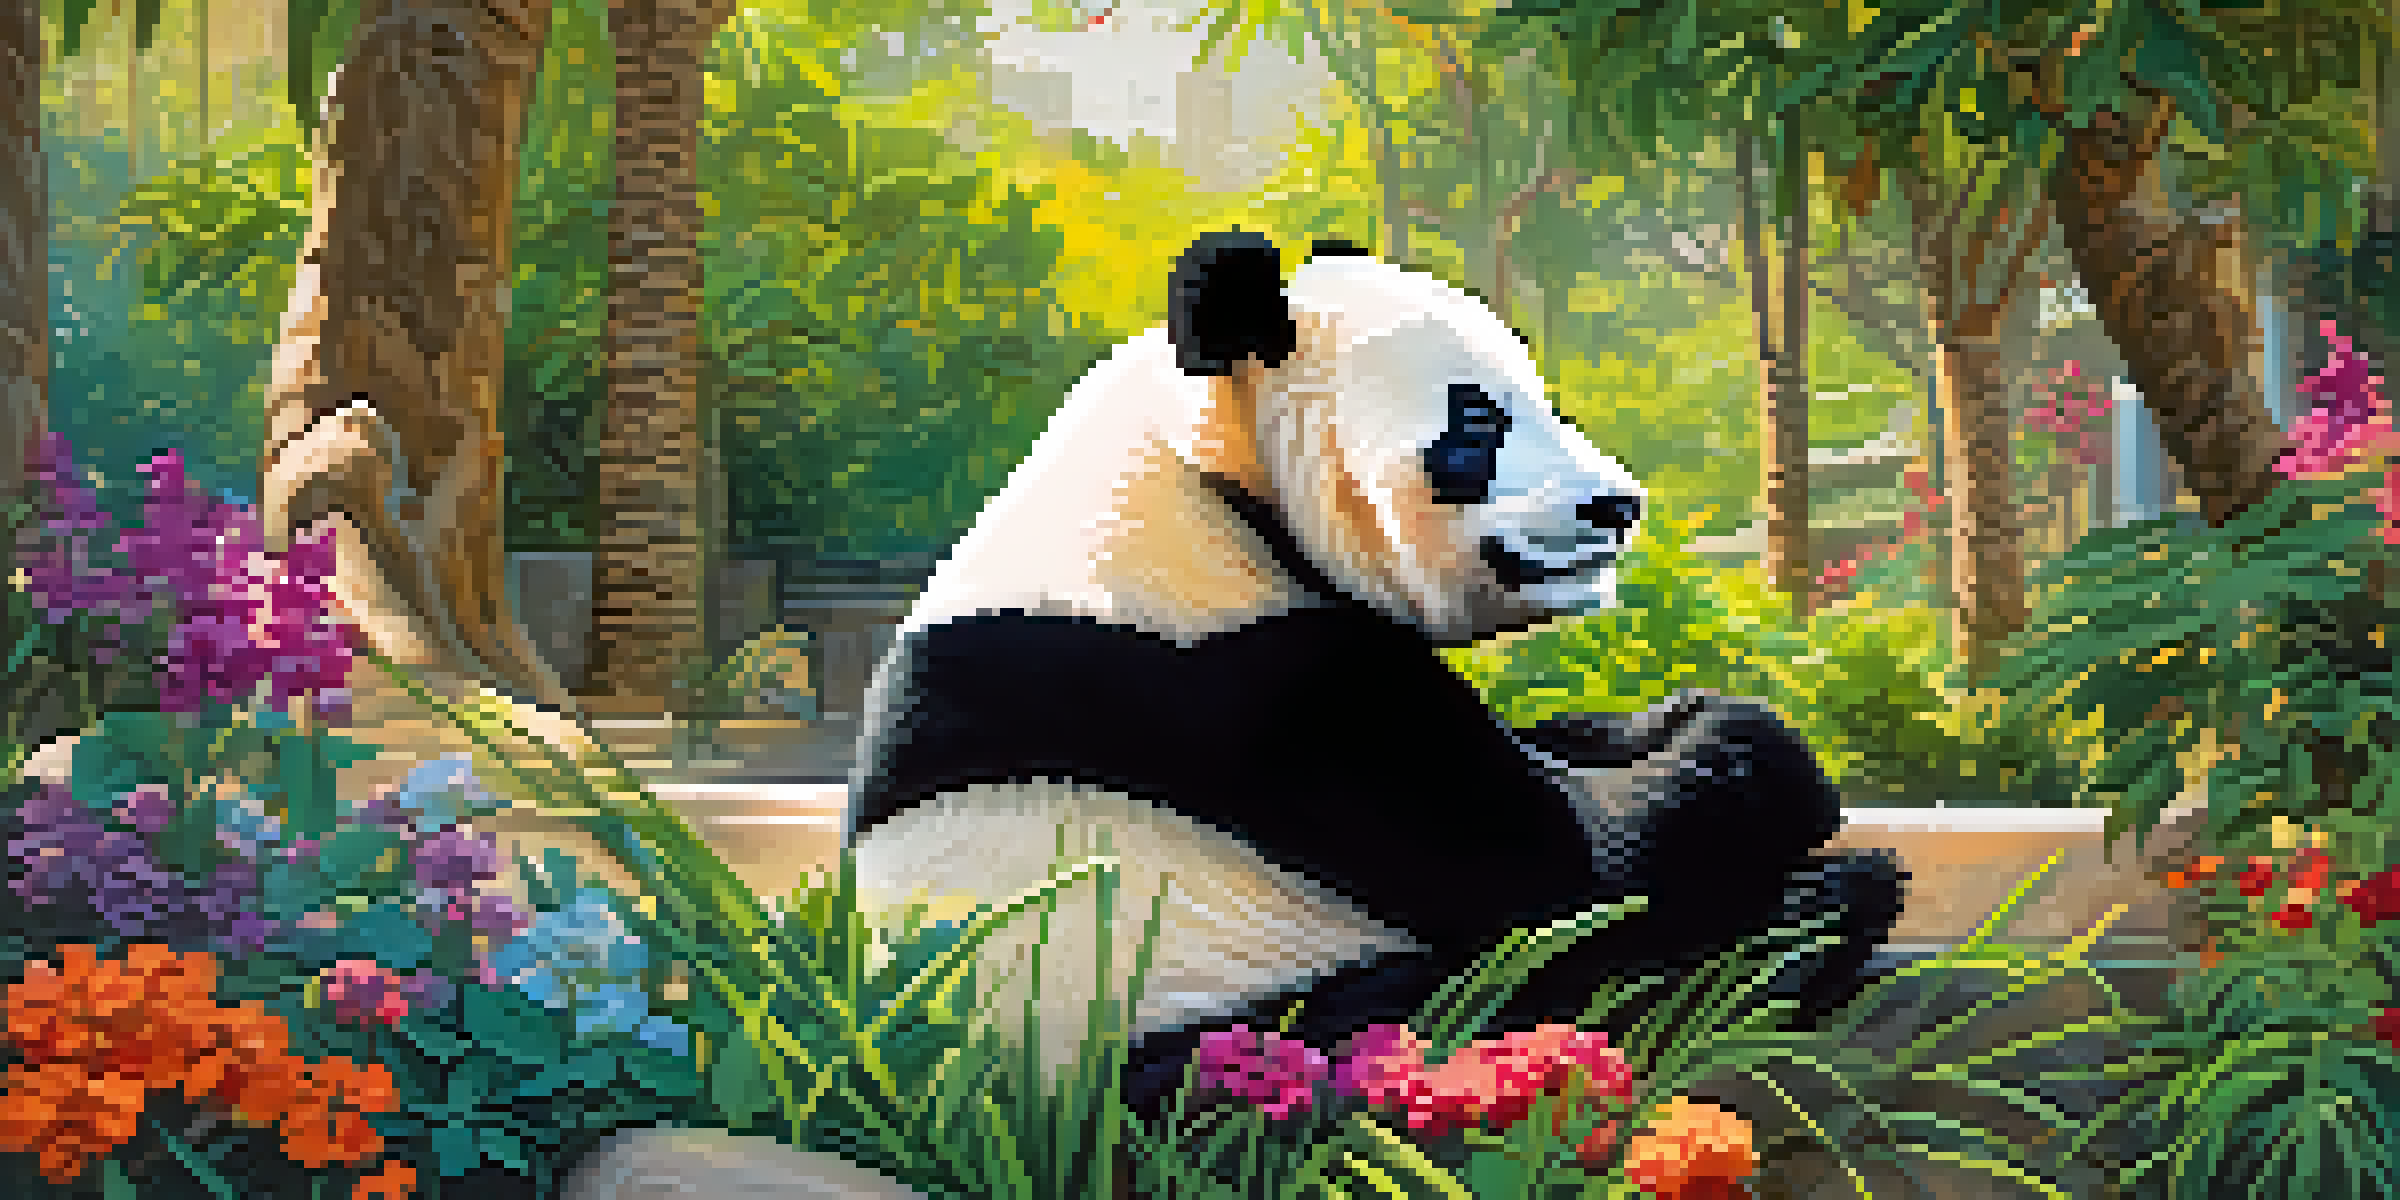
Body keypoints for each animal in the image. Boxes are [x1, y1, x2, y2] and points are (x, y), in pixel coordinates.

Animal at [843, 230, 1906, 1120]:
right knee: (1495, 993)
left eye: (1548, 404)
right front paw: (1761, 756)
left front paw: (1666, 717)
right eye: (1475, 428)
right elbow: (1554, 867)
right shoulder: (1254, 684)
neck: (1199, 479)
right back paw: (1802, 925)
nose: (1617, 506)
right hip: (1201, 1012)